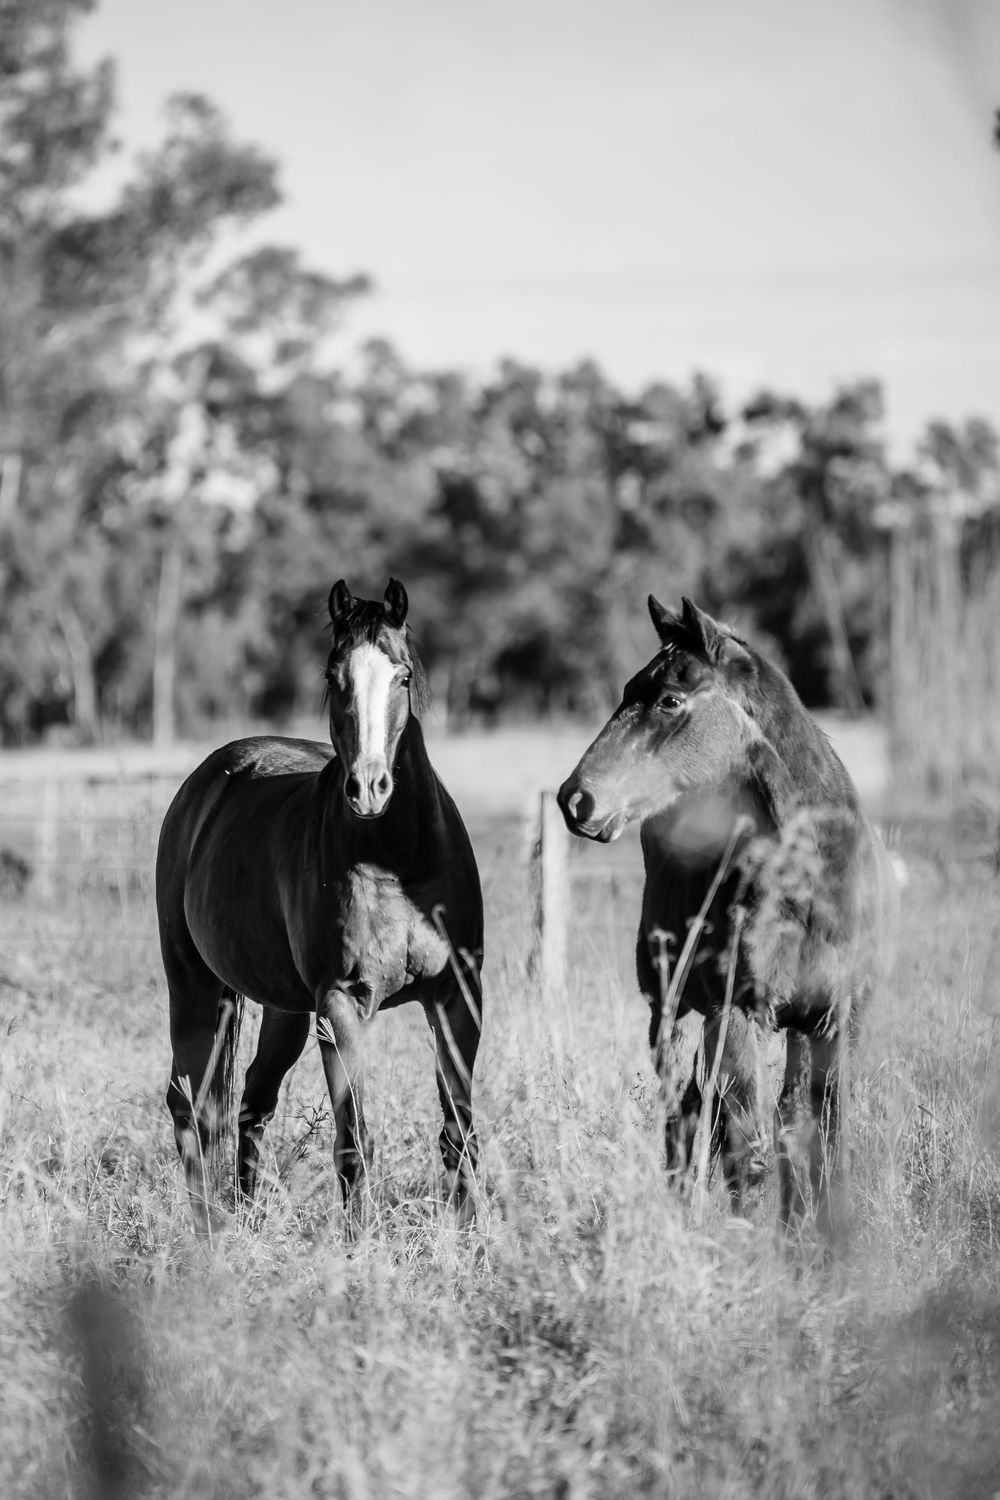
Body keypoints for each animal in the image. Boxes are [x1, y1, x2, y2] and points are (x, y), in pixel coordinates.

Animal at [155, 578, 484, 1227]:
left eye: (403, 676)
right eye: (335, 678)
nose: (369, 787)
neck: (398, 857)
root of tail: (204, 785)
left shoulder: (458, 995)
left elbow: (458, 1130)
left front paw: (469, 1235)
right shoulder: (341, 1004)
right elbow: (355, 1141)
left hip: (283, 1008)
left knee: (251, 1102)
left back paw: (244, 1217)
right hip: (196, 987)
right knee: (193, 1110)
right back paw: (209, 1229)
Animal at [557, 596, 896, 1243]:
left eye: (670, 699)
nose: (575, 799)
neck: (810, 883)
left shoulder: (837, 1019)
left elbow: (824, 1140)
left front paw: (822, 1246)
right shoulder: (739, 1012)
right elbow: (745, 1149)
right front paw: (748, 1246)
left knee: (774, 1118)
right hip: (677, 1012)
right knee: (685, 1119)